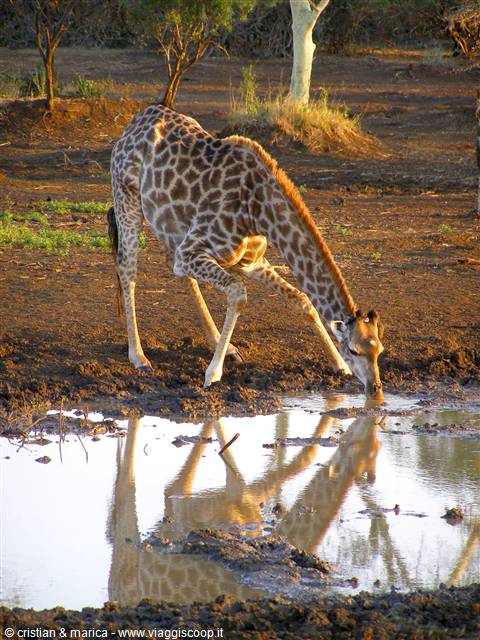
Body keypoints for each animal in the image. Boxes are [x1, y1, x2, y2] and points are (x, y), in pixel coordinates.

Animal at [109, 104, 384, 397]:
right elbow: (238, 294)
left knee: (174, 268)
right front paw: (213, 374)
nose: (375, 388)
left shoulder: (250, 262)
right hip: (128, 199)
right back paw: (139, 357)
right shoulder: (192, 252)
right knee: (127, 268)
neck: (259, 212)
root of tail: (135, 121)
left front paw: (338, 365)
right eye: (354, 350)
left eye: (379, 349)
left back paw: (223, 345)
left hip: (170, 224)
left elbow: (302, 299)